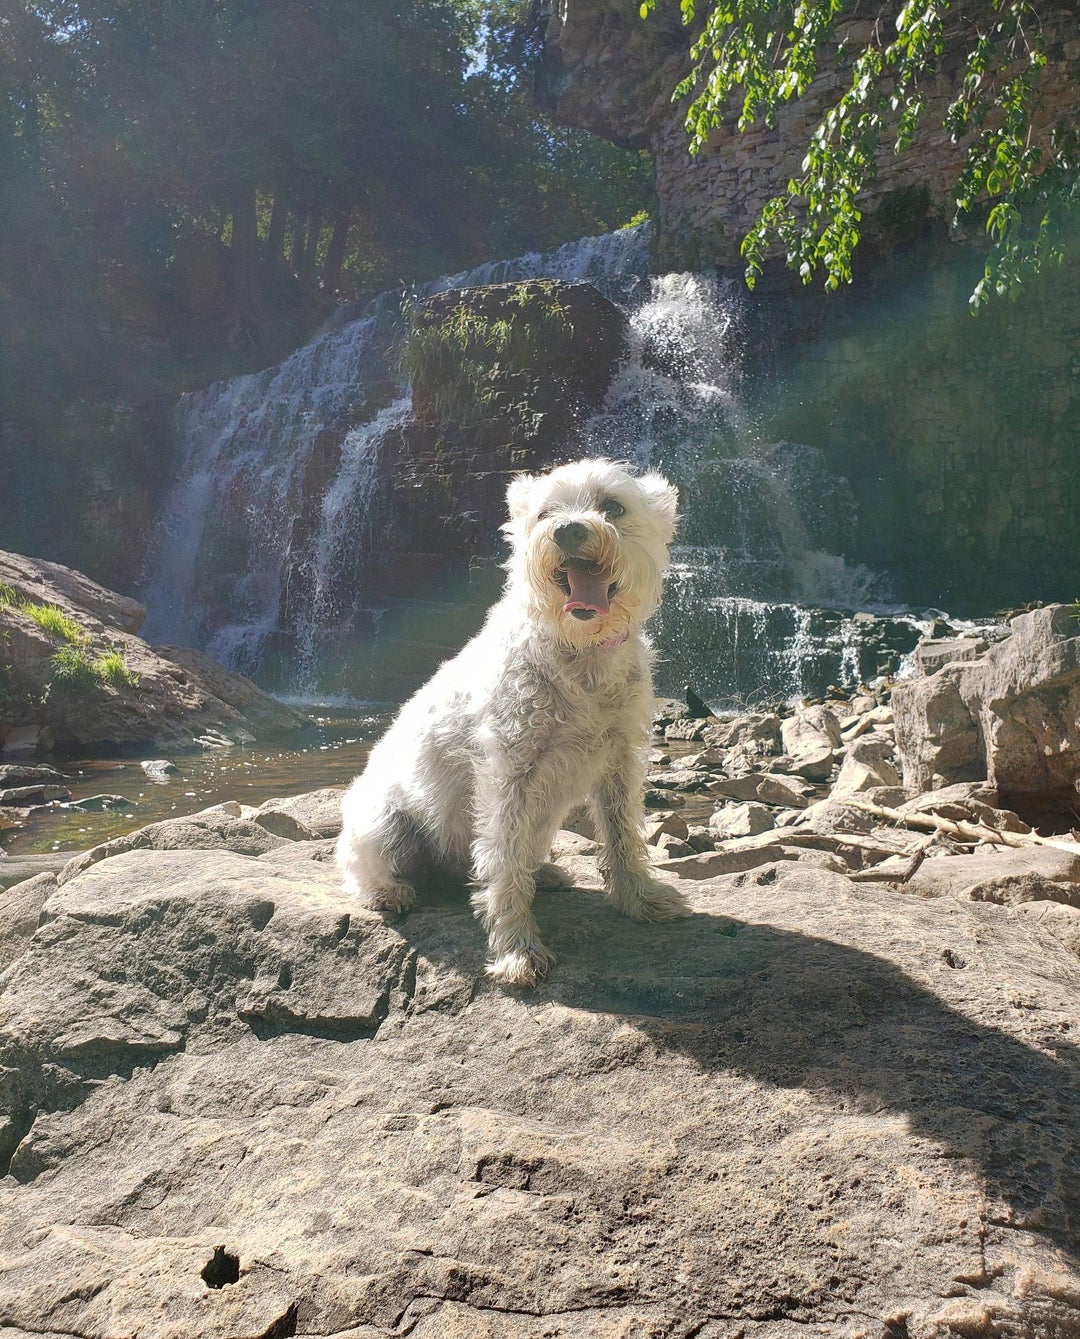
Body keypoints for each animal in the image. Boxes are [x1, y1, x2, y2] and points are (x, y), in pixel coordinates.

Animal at [337, 460, 690, 985]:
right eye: (544, 512)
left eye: (613, 506)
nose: (567, 530)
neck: (579, 651)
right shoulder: (509, 771)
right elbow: (502, 860)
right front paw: (517, 952)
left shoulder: (620, 760)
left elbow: (623, 834)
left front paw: (641, 901)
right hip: (384, 818)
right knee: (362, 865)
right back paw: (389, 891)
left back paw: (545, 872)